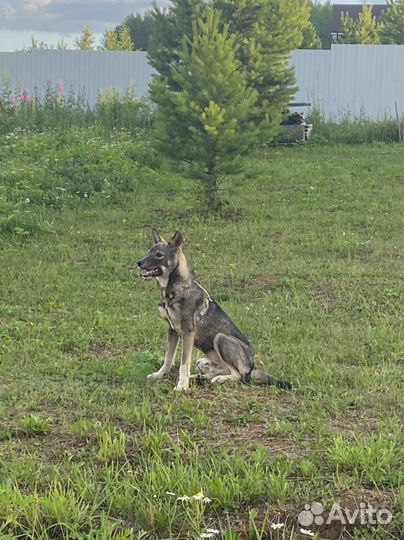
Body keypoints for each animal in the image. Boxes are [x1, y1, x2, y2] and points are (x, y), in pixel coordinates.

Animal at [138, 229, 290, 392]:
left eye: (159, 255)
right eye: (149, 252)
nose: (138, 263)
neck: (176, 291)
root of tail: (252, 368)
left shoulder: (187, 332)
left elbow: (184, 363)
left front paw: (182, 386)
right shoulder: (172, 330)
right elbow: (168, 358)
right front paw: (159, 376)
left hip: (220, 338)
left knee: (238, 376)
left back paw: (218, 379)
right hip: (201, 361)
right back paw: (198, 377)